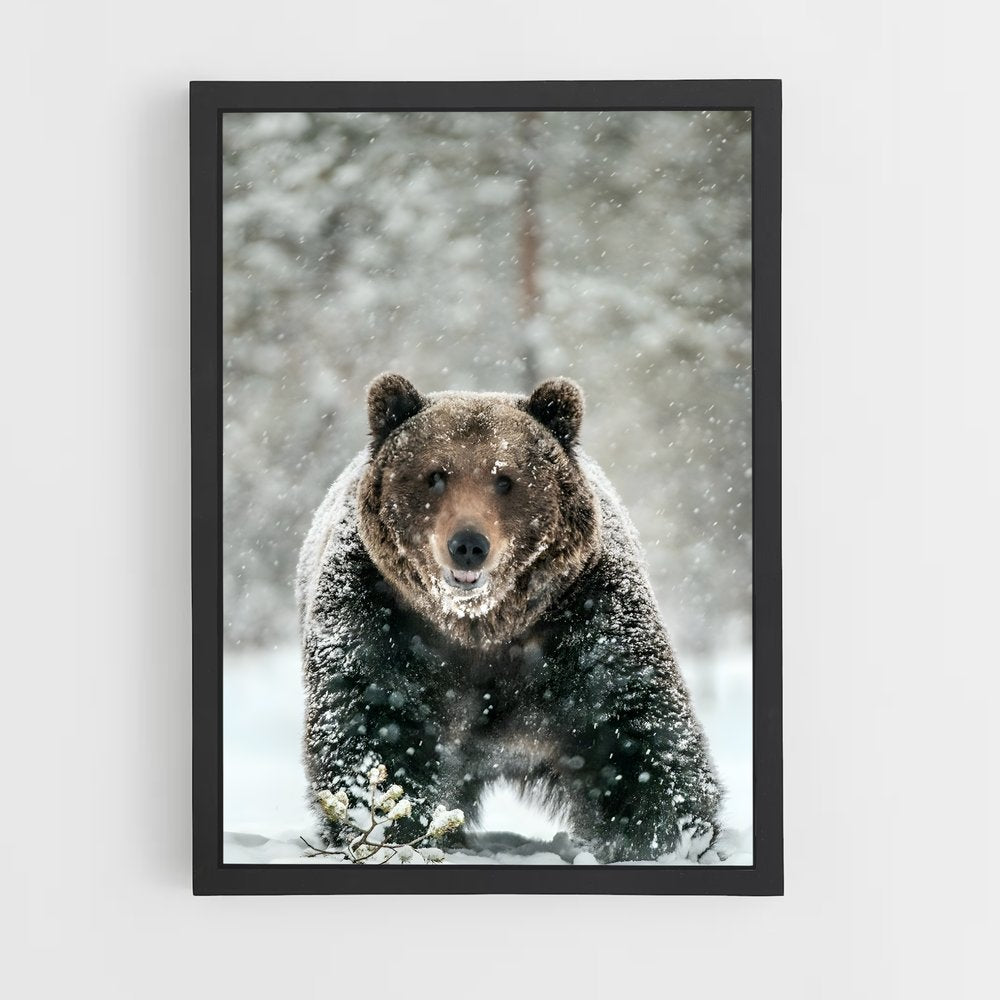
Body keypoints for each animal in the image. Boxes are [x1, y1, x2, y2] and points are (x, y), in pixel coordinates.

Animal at [296, 373, 721, 862]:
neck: (481, 624)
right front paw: (389, 829)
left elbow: (631, 722)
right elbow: (375, 721)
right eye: (435, 475)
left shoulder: (586, 617)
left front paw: (662, 836)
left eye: (505, 478)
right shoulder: (379, 615)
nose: (468, 544)